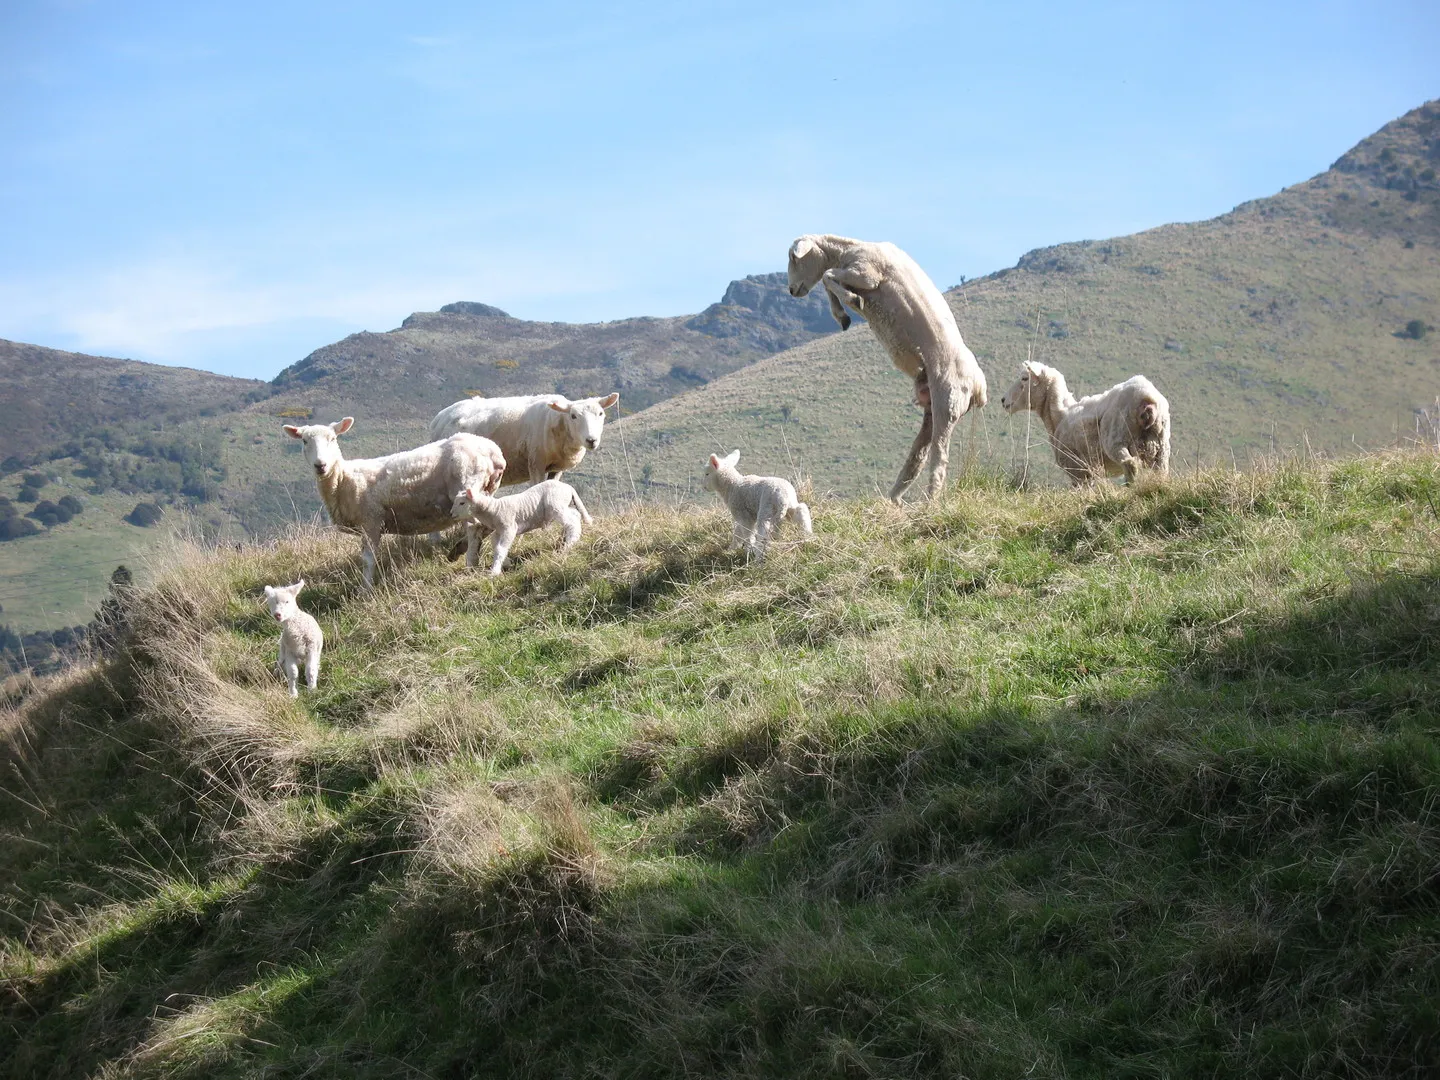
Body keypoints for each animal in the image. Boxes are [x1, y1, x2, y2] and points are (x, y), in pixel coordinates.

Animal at [282, 417, 507, 586]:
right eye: (304, 441)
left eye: (333, 438)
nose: (320, 465)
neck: (343, 479)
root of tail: (493, 452)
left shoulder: (371, 520)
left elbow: (368, 559)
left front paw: (366, 589)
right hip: (484, 490)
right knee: (486, 524)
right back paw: (460, 551)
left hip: (466, 485)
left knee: (473, 527)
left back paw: (470, 562)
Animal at [428, 392, 620, 486]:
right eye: (573, 416)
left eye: (601, 414)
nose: (591, 440)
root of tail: (438, 418)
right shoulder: (535, 462)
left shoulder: (557, 468)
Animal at [449, 478, 593, 575]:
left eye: (462, 503)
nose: (451, 514)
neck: (493, 509)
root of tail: (568, 487)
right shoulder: (498, 531)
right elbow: (496, 545)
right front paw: (506, 562)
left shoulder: (509, 528)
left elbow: (500, 548)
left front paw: (494, 572)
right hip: (561, 506)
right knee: (575, 515)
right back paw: (564, 538)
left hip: (556, 505)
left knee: (572, 521)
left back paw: (570, 543)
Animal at [787, 234, 988, 503]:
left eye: (793, 257)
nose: (791, 290)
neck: (847, 250)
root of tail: (979, 387)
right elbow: (828, 282)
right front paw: (843, 317)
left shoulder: (865, 274)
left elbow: (828, 276)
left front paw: (853, 301)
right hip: (932, 409)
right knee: (917, 456)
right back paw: (893, 498)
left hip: (948, 403)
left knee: (939, 456)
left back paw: (930, 501)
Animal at [999, 360, 1171, 485]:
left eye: (1024, 378)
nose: (1003, 400)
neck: (1059, 415)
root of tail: (1147, 399)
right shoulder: (1089, 471)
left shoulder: (1077, 470)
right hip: (1161, 447)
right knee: (1161, 472)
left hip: (1117, 439)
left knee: (1130, 465)